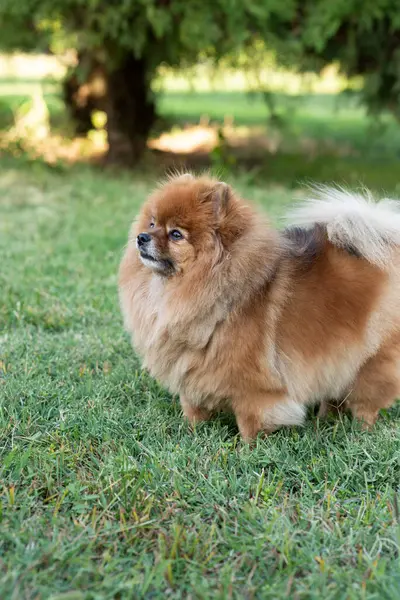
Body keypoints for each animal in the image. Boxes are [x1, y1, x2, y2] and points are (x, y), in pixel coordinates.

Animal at [119, 173, 400, 440]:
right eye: (152, 223)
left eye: (176, 234)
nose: (141, 237)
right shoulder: (190, 368)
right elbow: (192, 407)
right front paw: (191, 432)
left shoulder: (252, 387)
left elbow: (250, 419)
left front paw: (248, 448)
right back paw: (325, 421)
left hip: (370, 360)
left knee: (366, 402)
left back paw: (360, 430)